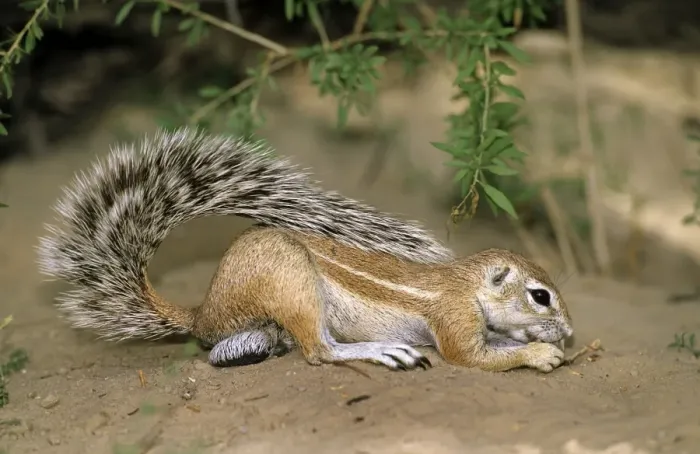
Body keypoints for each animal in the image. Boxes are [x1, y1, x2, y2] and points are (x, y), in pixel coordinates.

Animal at [37, 127, 573, 373]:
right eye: (540, 295)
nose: (570, 332)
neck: (466, 284)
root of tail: (205, 310)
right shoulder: (454, 320)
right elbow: (473, 356)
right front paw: (541, 353)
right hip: (292, 279)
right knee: (320, 351)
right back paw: (384, 351)